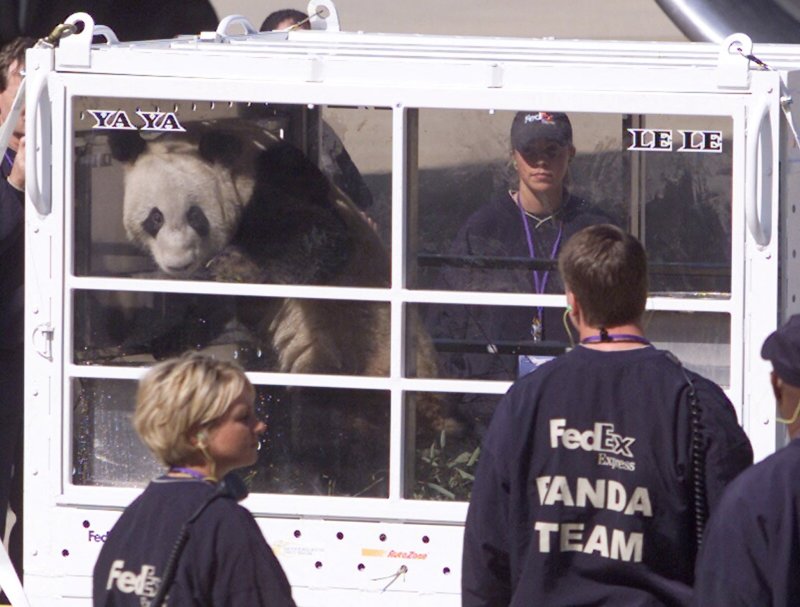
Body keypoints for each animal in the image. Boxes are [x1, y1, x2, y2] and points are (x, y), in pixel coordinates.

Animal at [111, 121, 444, 496]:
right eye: (154, 218)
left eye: (195, 216)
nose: (178, 262)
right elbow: (211, 308)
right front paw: (164, 339)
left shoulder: (279, 178)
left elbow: (322, 237)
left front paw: (238, 265)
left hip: (359, 360)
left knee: (329, 420)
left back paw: (330, 479)